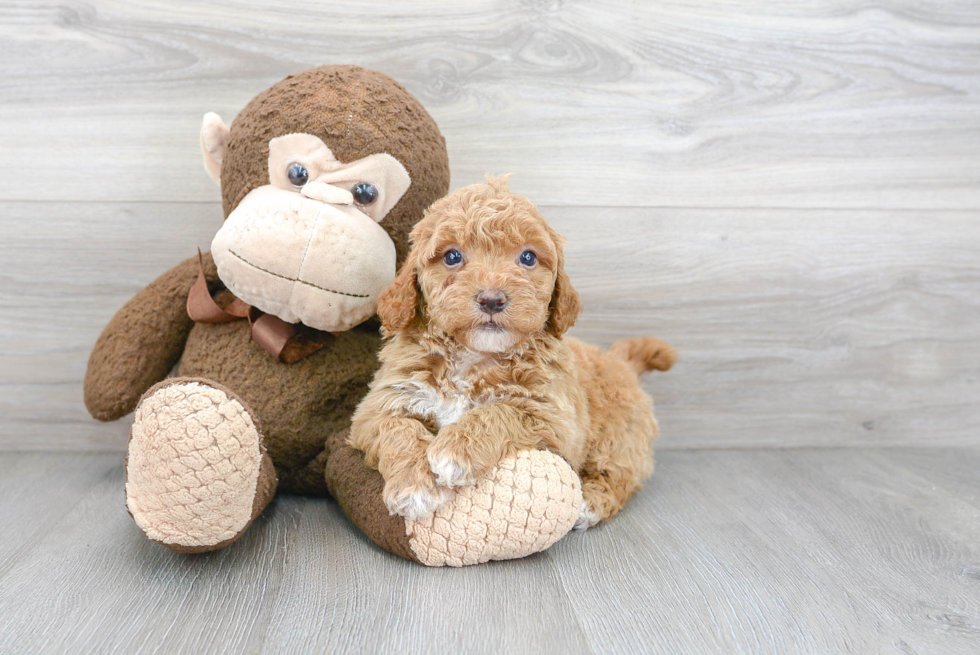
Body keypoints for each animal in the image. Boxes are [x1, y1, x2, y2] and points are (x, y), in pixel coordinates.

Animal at [348, 177, 676, 532]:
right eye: (452, 256)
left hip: (620, 438)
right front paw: (413, 486)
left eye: (528, 258)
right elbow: (398, 429)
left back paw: (590, 503)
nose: (492, 299)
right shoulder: (381, 405)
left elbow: (501, 412)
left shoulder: (554, 418)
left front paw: (455, 450)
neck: (473, 356)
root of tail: (622, 362)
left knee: (620, 475)